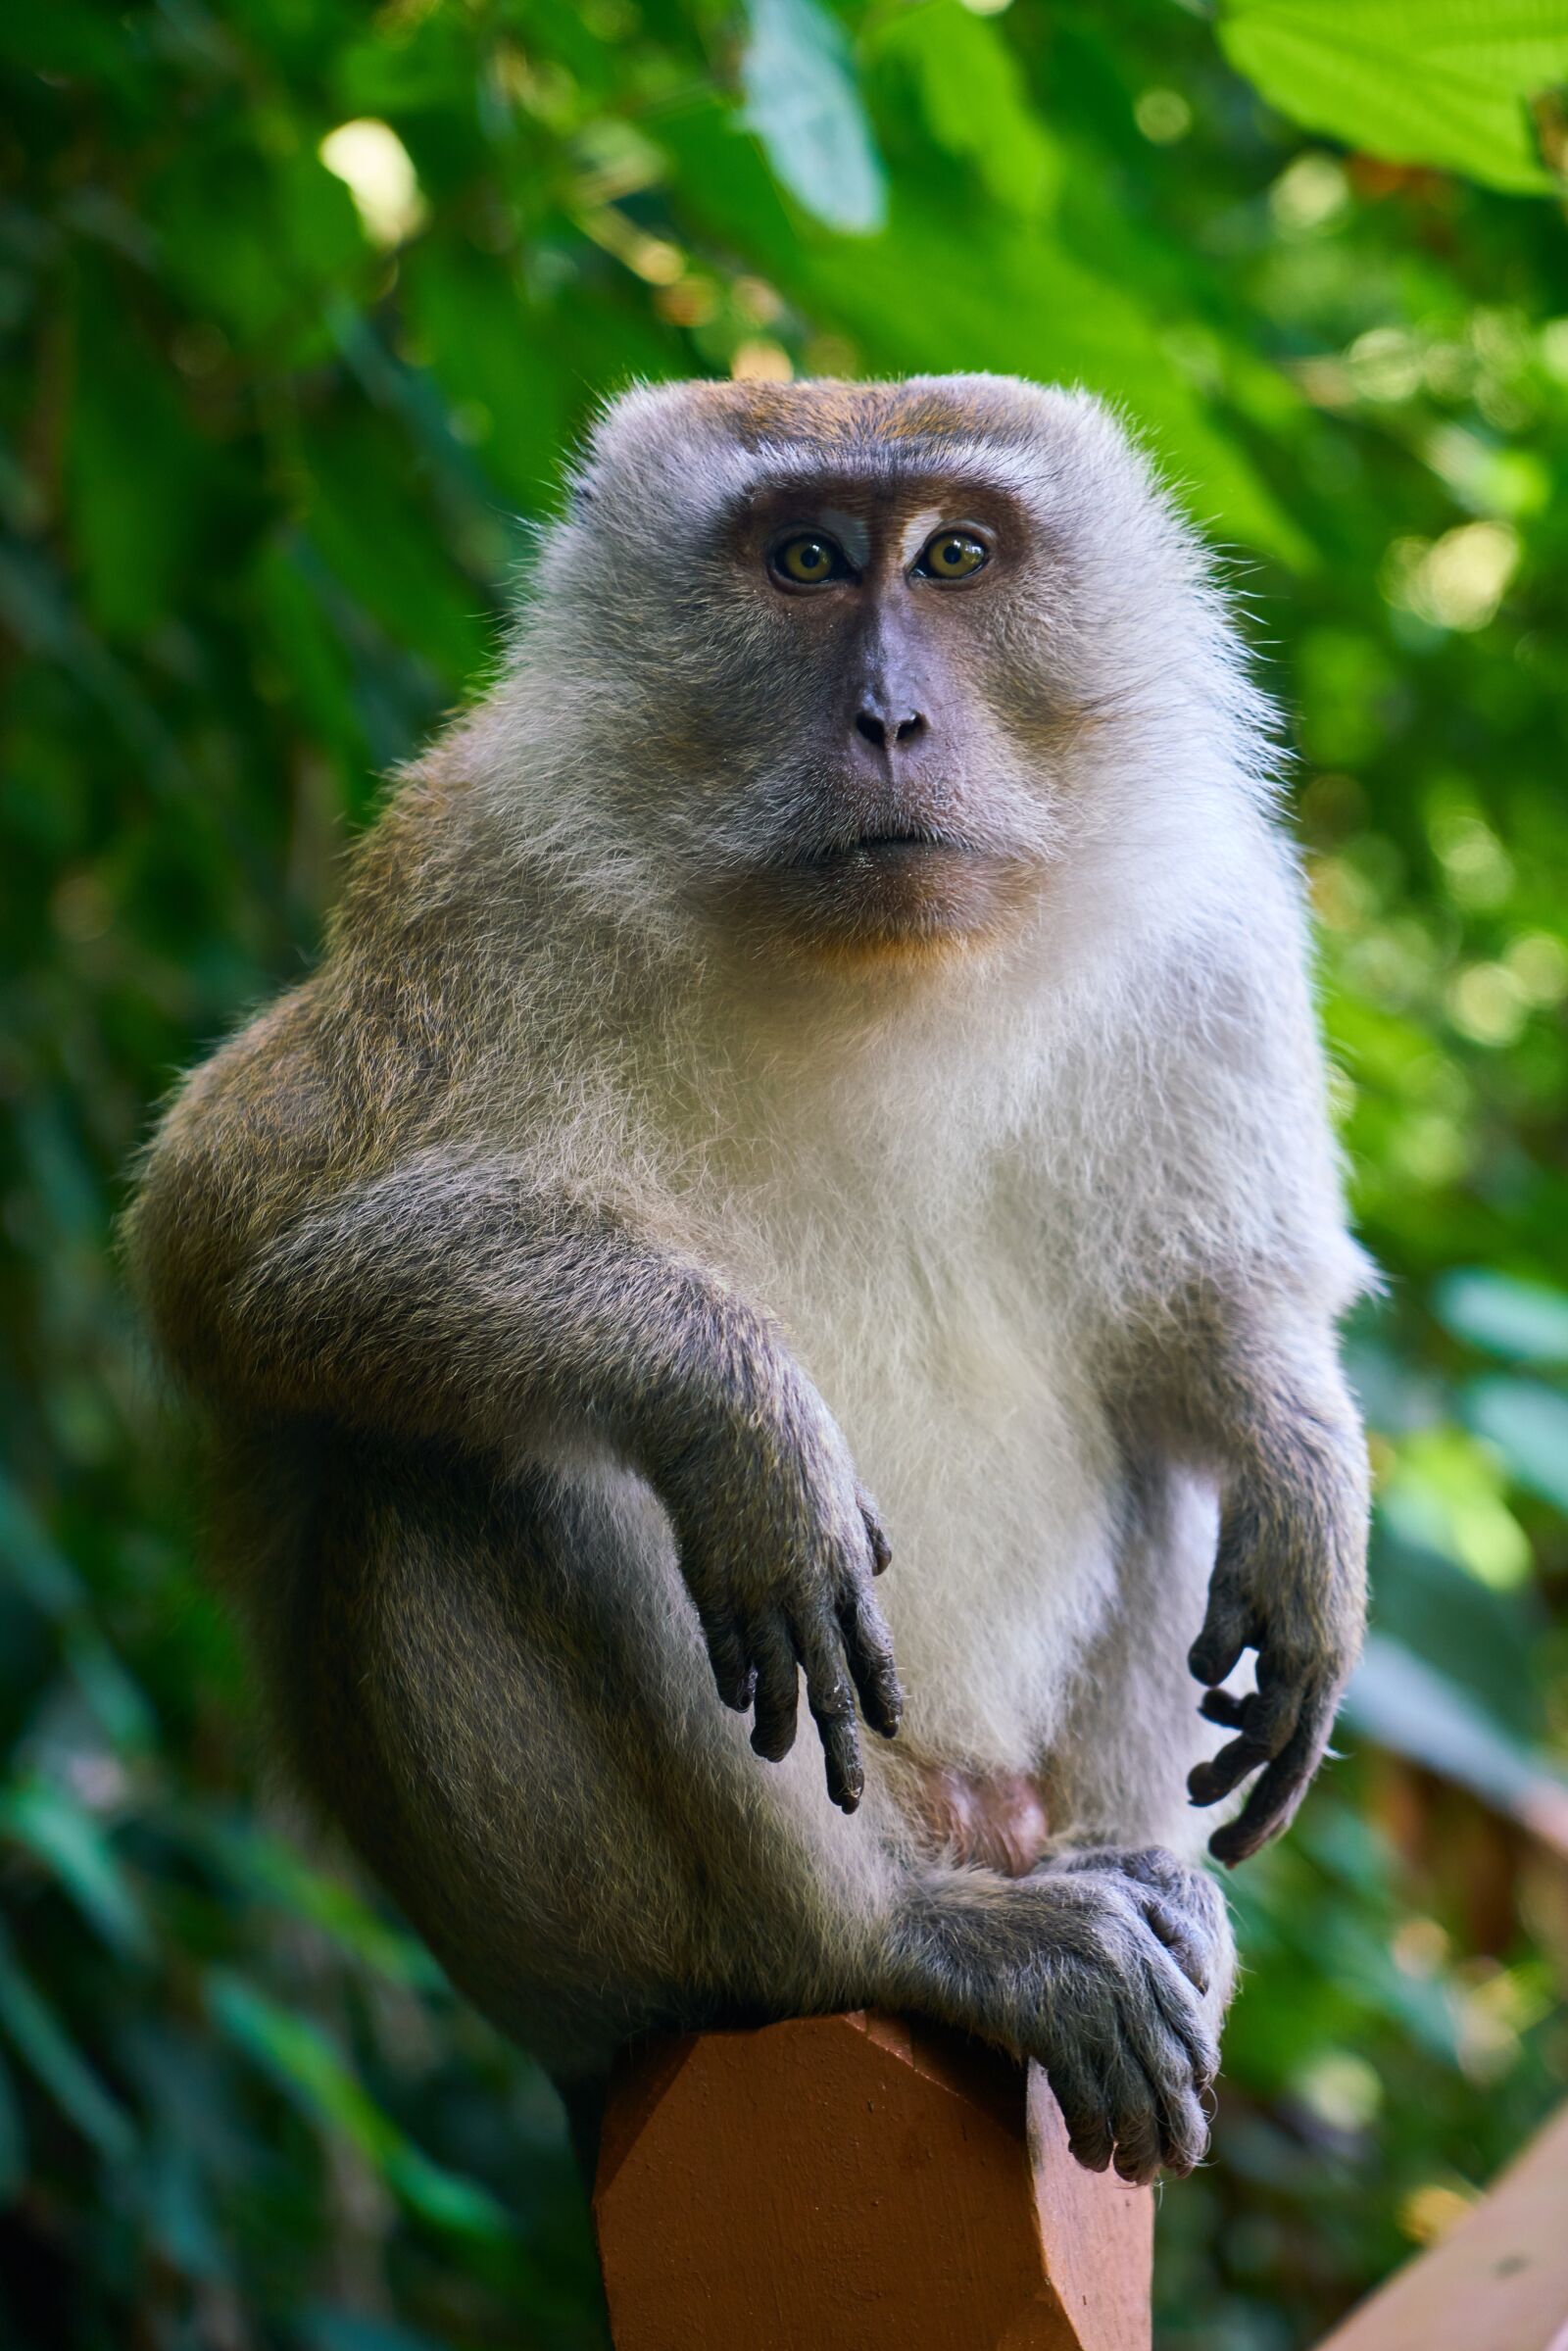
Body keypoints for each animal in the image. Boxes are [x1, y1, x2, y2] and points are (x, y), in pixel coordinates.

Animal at [126, 375, 1370, 2191]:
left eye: (955, 555)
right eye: (806, 560)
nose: (891, 719)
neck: (881, 967)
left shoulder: (1212, 923)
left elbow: (1214, 1307)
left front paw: (1307, 1477)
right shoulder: (477, 877)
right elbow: (232, 1243)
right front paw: (737, 1406)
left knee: (1152, 1423)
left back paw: (1144, 1885)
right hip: (591, 1955)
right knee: (472, 1453)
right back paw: (896, 1938)